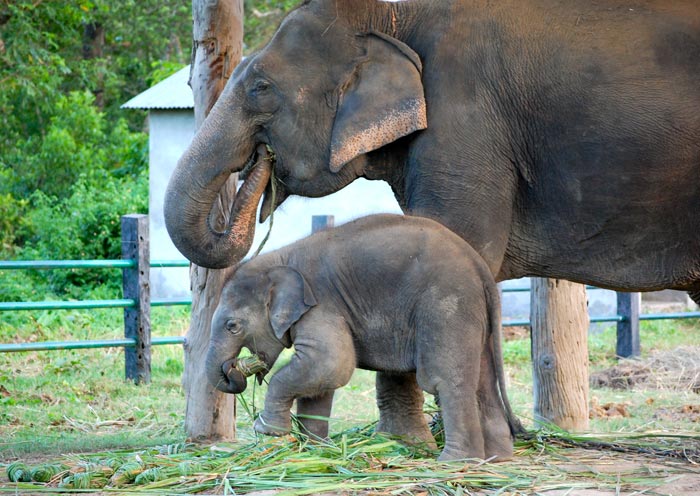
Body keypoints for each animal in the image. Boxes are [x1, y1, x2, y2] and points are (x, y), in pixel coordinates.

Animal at [206, 214, 520, 461]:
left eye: (233, 326)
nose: (235, 369)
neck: (281, 256)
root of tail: (481, 269)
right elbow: (321, 381)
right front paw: (316, 451)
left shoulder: (322, 305)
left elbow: (332, 364)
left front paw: (266, 430)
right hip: (473, 317)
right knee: (483, 382)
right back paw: (496, 460)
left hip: (446, 306)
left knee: (445, 380)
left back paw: (454, 463)